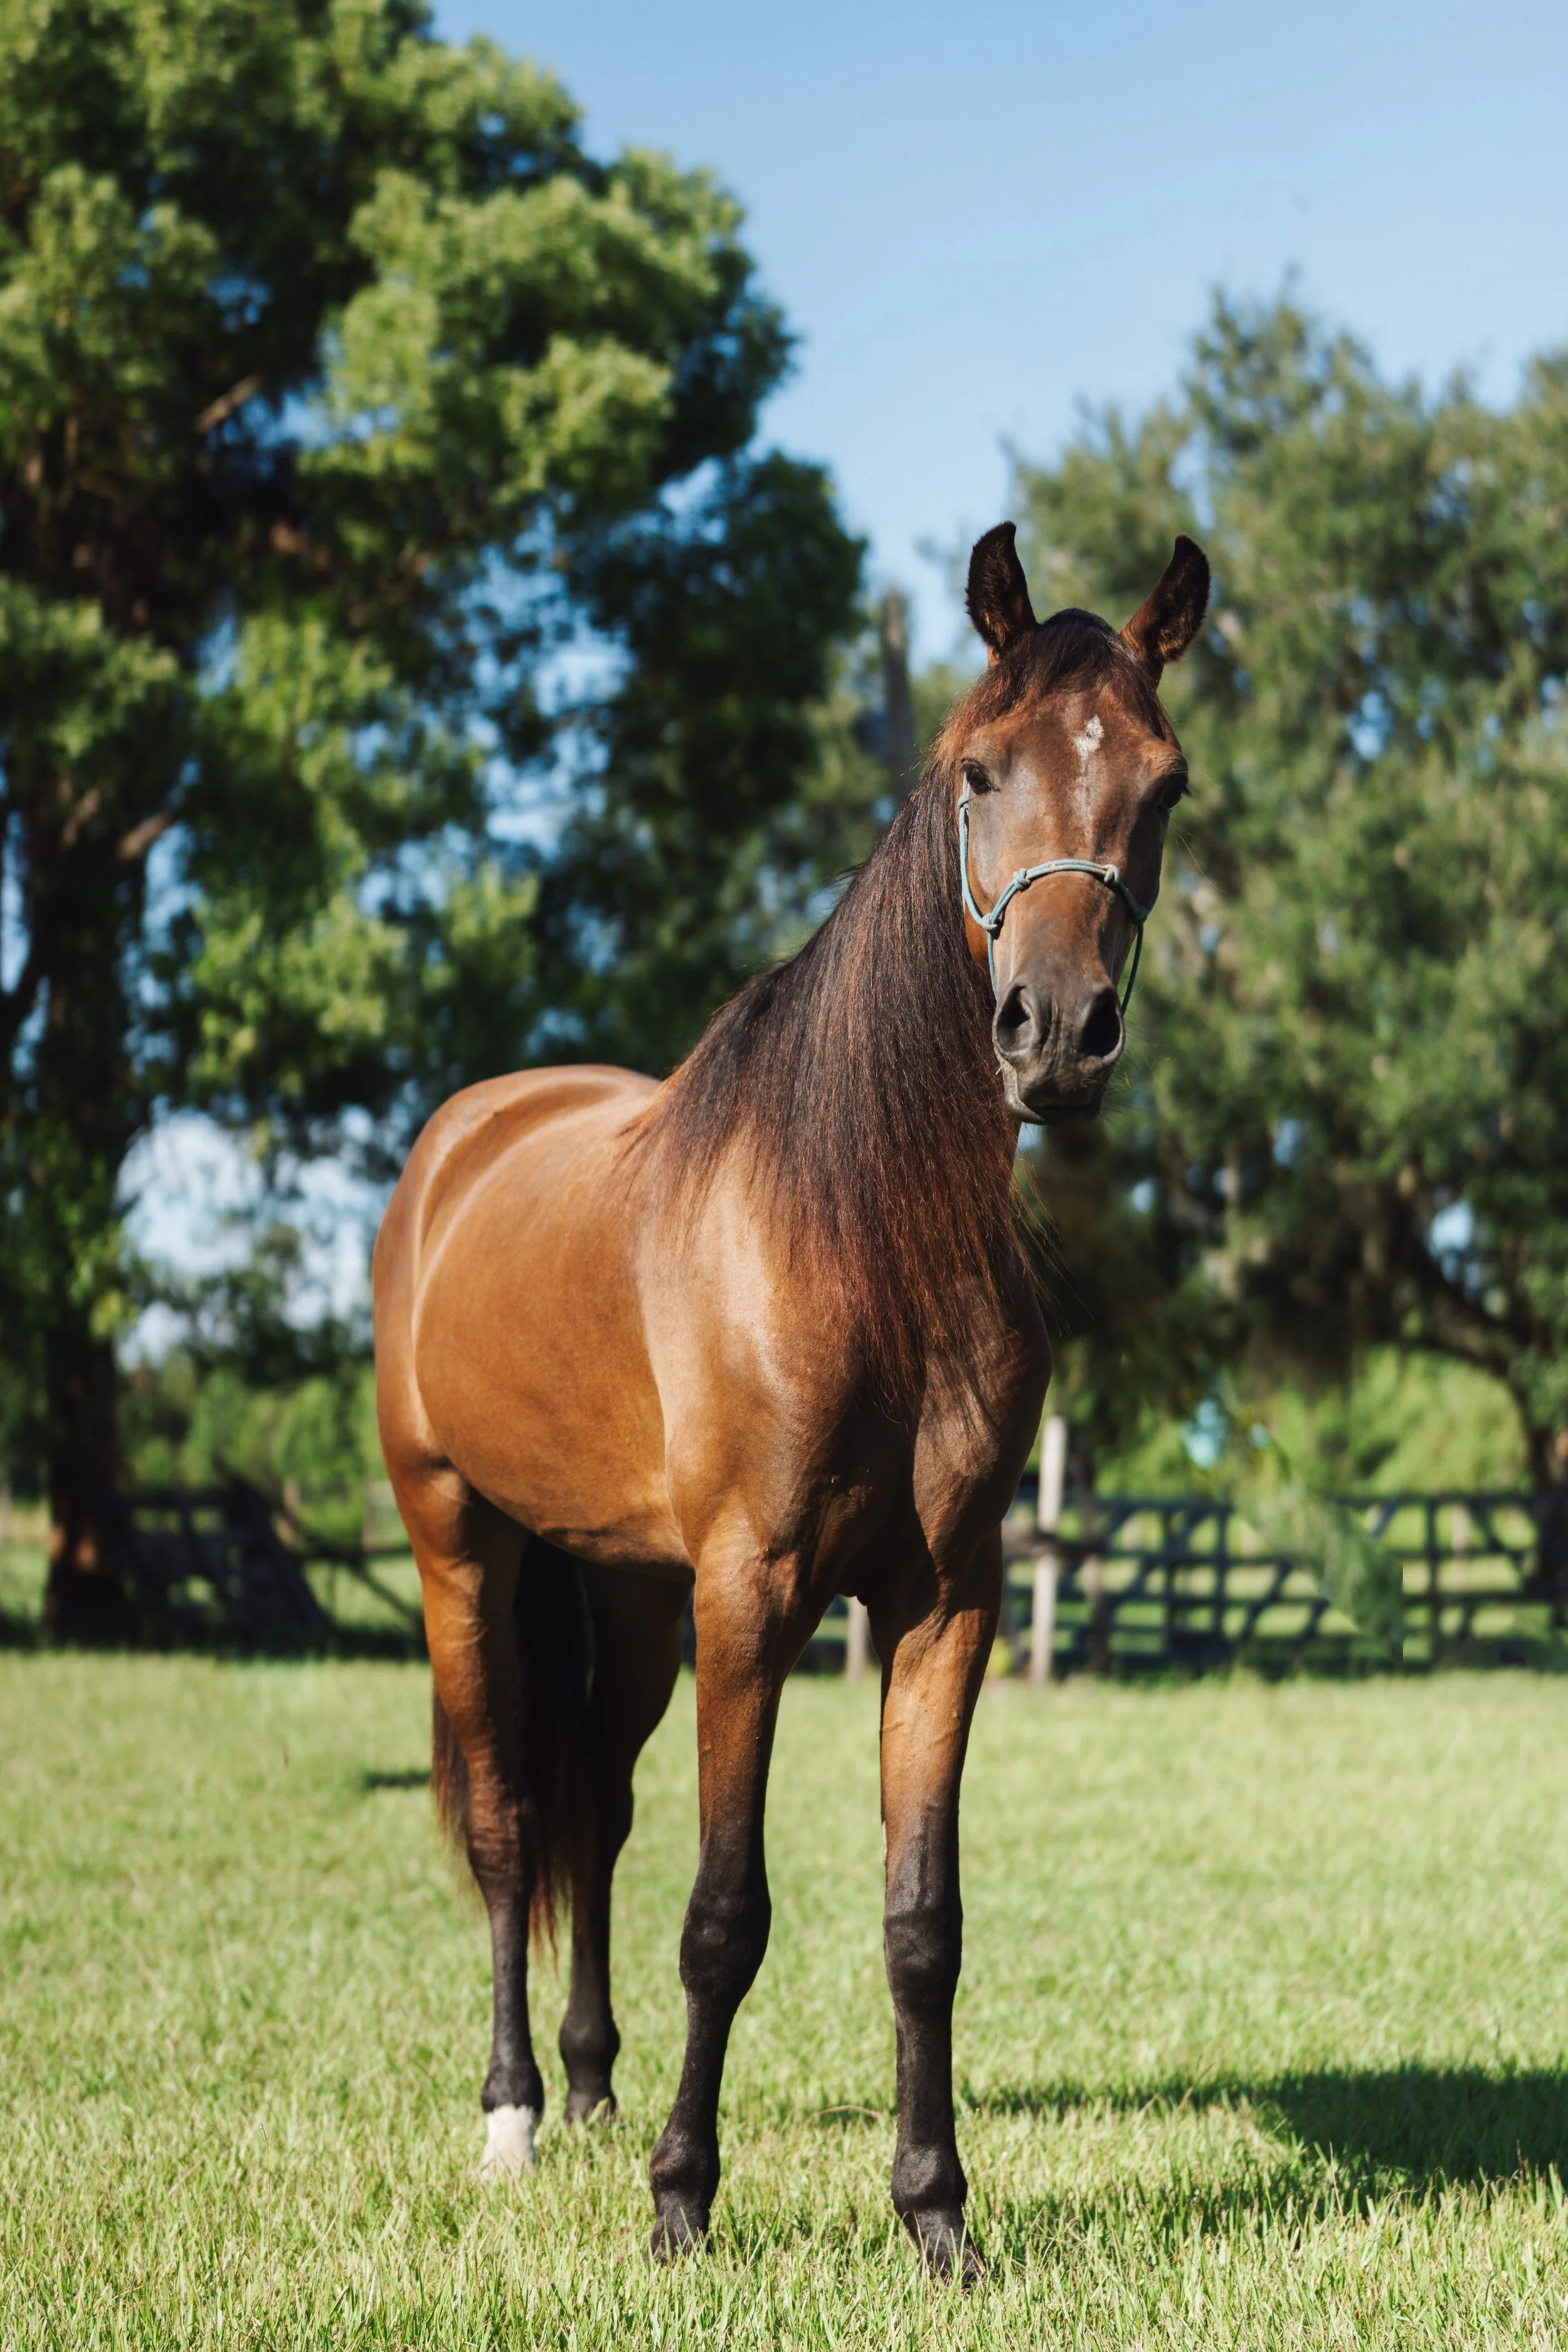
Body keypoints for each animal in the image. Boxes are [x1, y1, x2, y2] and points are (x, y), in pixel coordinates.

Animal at [373, 519, 1209, 2278]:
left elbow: (919, 1922)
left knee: (598, 1808)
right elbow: (725, 1912)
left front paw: (936, 2213)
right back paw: (515, 2116)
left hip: (626, 1591)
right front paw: (684, 2203)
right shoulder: (751, 1593)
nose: (1055, 1035)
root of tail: (464, 1137)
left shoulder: (943, 1607)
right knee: (510, 1822)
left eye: (1162, 786)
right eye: (977, 771)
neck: (860, 1231)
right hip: (460, 1549)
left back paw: (592, 2086)